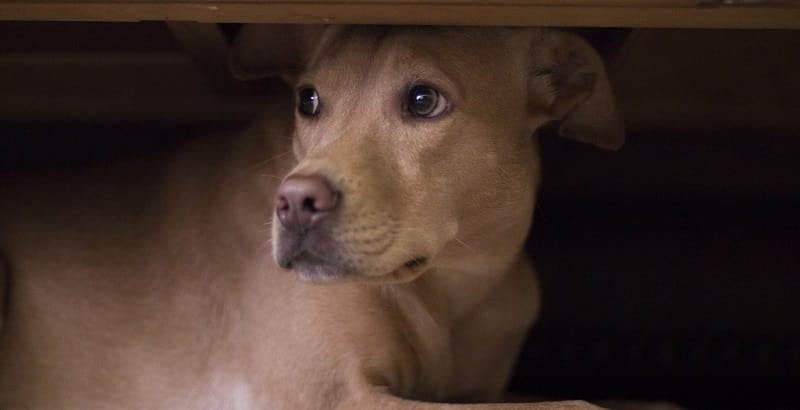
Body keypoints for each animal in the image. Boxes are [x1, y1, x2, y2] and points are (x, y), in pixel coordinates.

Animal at [0, 26, 620, 410]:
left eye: (424, 100)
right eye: (309, 100)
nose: (294, 202)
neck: (454, 284)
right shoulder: (339, 396)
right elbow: (574, 403)